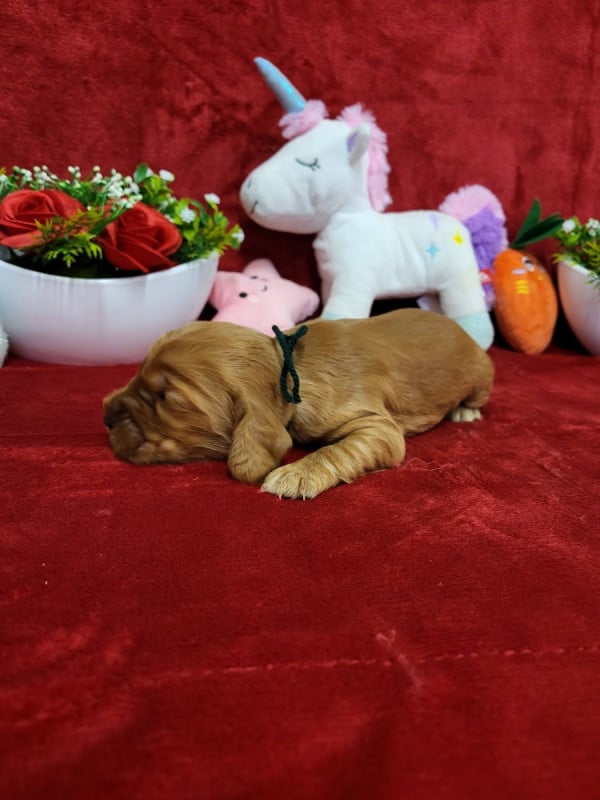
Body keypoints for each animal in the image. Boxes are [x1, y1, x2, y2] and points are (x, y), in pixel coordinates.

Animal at [103, 309, 494, 499]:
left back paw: (465, 410)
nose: (105, 416)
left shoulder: (378, 426)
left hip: (482, 373)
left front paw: (296, 474)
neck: (290, 368)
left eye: (168, 399)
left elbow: (337, 449)